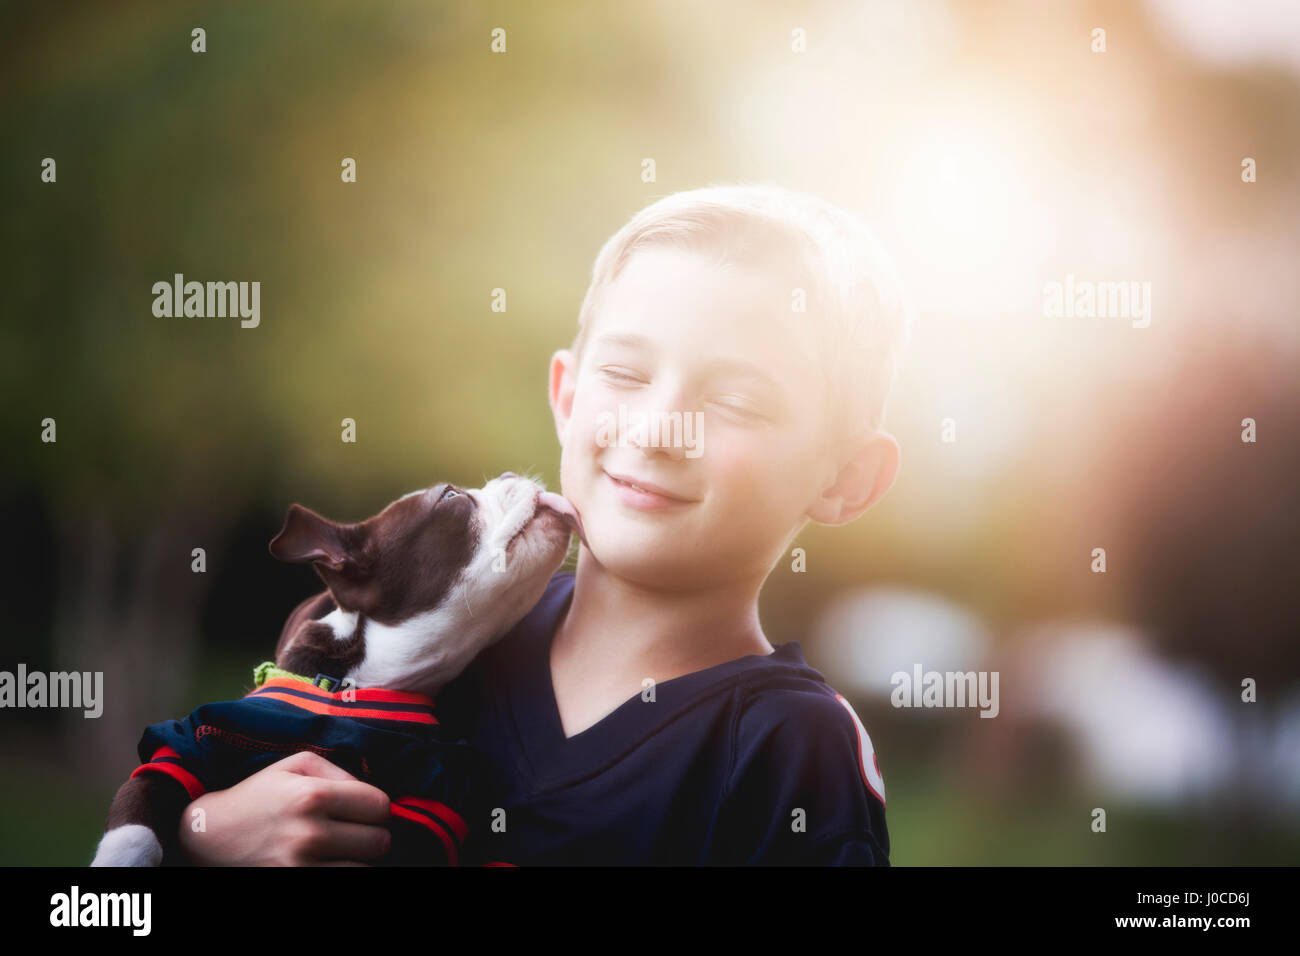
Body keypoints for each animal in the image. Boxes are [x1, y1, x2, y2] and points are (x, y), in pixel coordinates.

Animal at [87, 470, 585, 868]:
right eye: (450, 497)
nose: (508, 474)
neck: (345, 690)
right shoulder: (184, 747)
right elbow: (136, 817)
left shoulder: (428, 808)